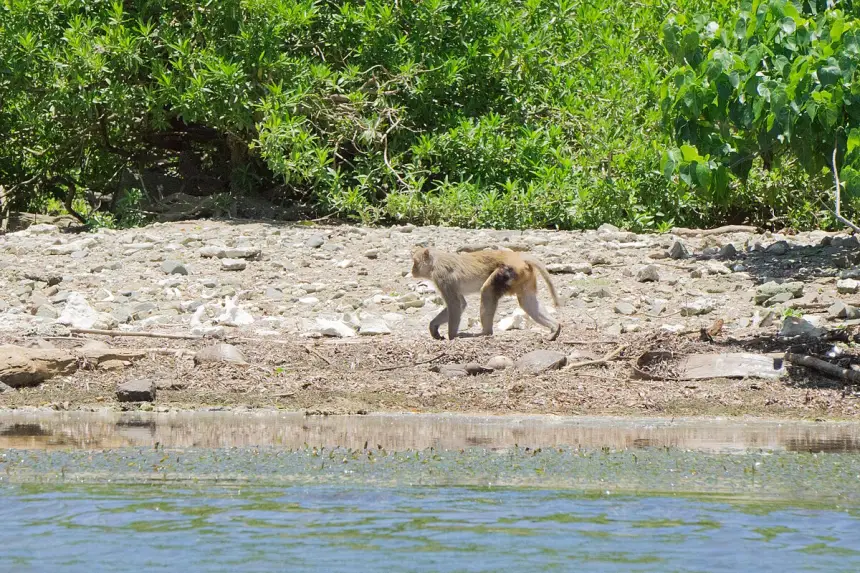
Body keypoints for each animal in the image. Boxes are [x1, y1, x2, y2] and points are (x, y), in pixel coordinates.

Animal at [412, 246, 560, 340]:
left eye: (415, 262)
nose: (412, 270)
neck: (435, 262)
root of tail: (518, 257)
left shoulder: (442, 277)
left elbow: (455, 304)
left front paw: (452, 336)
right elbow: (461, 304)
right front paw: (433, 327)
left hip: (507, 271)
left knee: (487, 291)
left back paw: (485, 332)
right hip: (523, 276)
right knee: (527, 302)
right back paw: (555, 327)